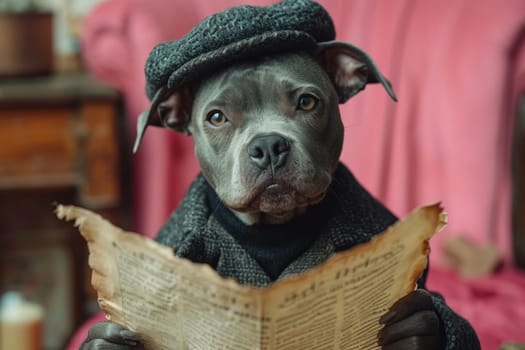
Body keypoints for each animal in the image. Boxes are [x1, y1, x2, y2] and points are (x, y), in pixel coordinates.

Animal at [79, 0, 478, 350]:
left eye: (307, 102)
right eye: (217, 117)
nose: (268, 146)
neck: (272, 229)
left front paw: (417, 327)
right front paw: (109, 341)